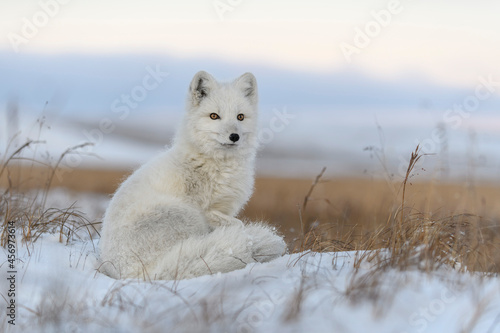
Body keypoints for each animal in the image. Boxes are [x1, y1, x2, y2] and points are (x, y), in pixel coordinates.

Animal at [98, 71, 286, 278]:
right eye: (214, 116)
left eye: (240, 117)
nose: (234, 137)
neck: (217, 165)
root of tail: (145, 273)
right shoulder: (206, 210)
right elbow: (238, 224)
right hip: (187, 215)